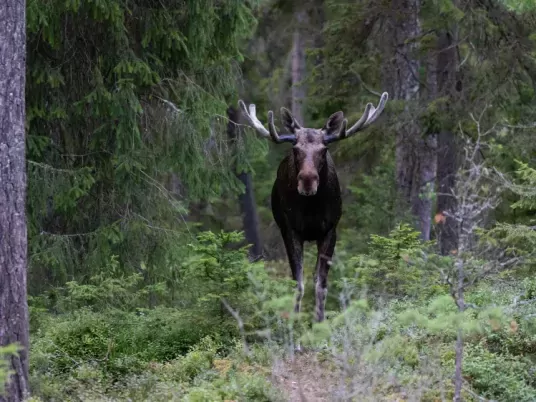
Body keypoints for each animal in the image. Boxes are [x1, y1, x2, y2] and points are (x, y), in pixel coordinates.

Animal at [240, 92, 390, 322]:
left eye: (323, 149)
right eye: (295, 149)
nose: (308, 180)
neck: (311, 210)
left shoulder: (330, 231)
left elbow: (321, 285)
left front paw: (319, 324)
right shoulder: (290, 230)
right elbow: (297, 284)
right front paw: (295, 327)